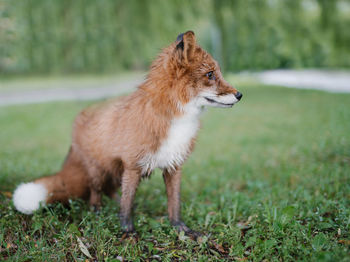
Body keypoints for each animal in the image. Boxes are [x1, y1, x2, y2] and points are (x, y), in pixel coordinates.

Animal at [14, 30, 243, 235]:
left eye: (217, 73)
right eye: (210, 75)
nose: (240, 95)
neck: (173, 119)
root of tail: (81, 117)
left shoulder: (173, 166)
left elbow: (174, 205)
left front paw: (182, 230)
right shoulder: (133, 165)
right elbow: (127, 204)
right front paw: (127, 232)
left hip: (116, 171)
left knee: (112, 191)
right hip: (99, 170)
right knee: (95, 192)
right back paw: (98, 211)